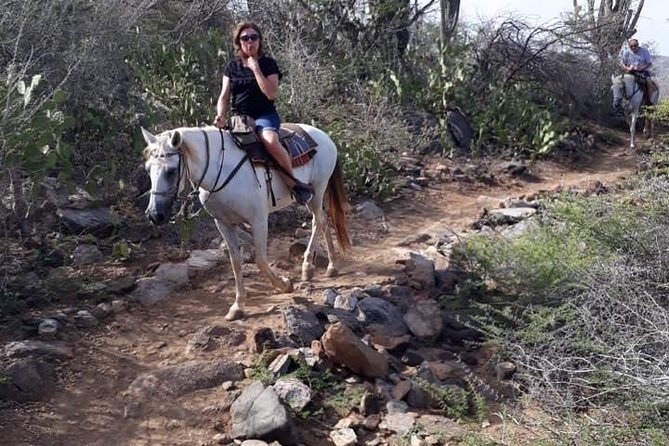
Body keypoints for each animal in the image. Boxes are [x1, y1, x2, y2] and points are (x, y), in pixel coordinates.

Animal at [141, 125, 350, 320]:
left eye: (171, 170)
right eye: (148, 169)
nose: (154, 215)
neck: (221, 170)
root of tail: (324, 136)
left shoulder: (259, 220)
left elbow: (261, 261)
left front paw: (285, 285)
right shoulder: (223, 224)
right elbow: (235, 262)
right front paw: (238, 306)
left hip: (317, 191)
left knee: (318, 221)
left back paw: (312, 267)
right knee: (323, 220)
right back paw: (328, 266)